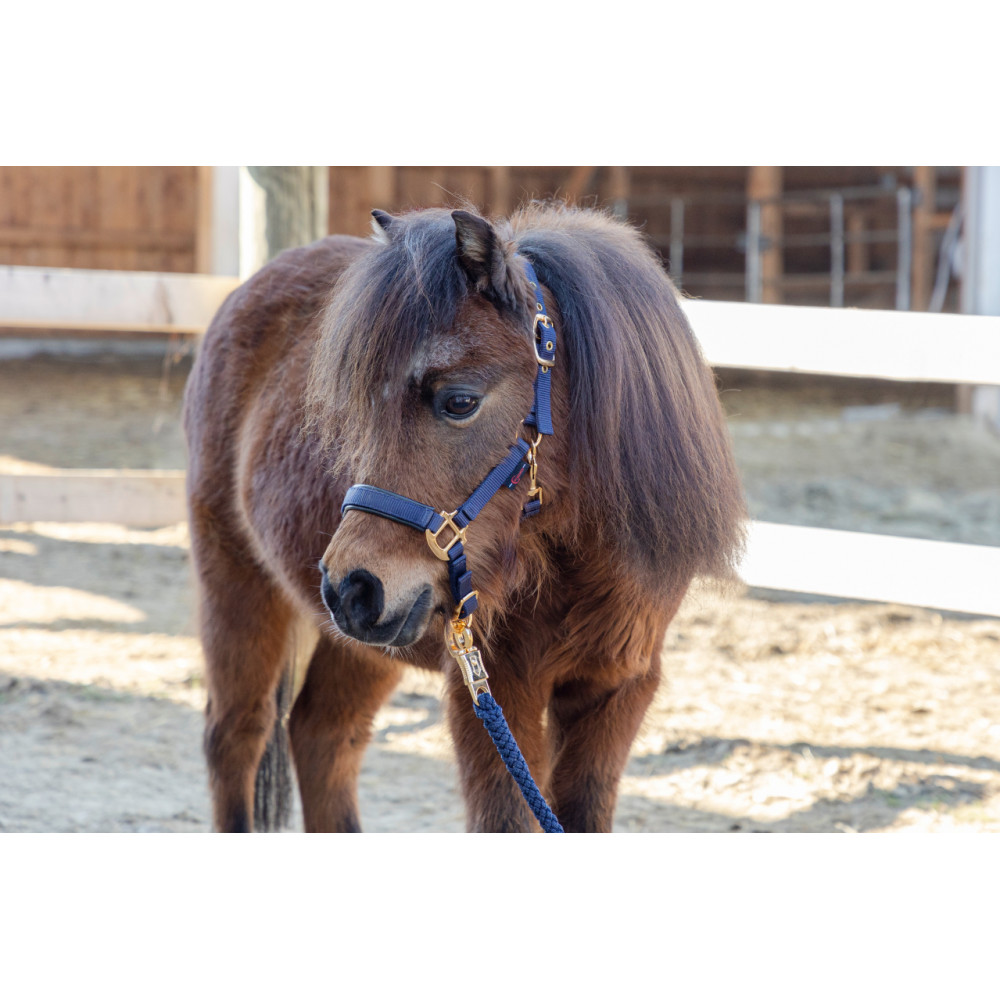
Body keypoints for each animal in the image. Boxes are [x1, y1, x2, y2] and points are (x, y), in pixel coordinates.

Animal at [182, 201, 746, 833]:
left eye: (459, 401)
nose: (349, 587)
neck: (577, 561)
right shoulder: (492, 689)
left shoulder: (617, 691)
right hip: (237, 580)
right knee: (238, 734)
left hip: (364, 644)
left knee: (323, 736)